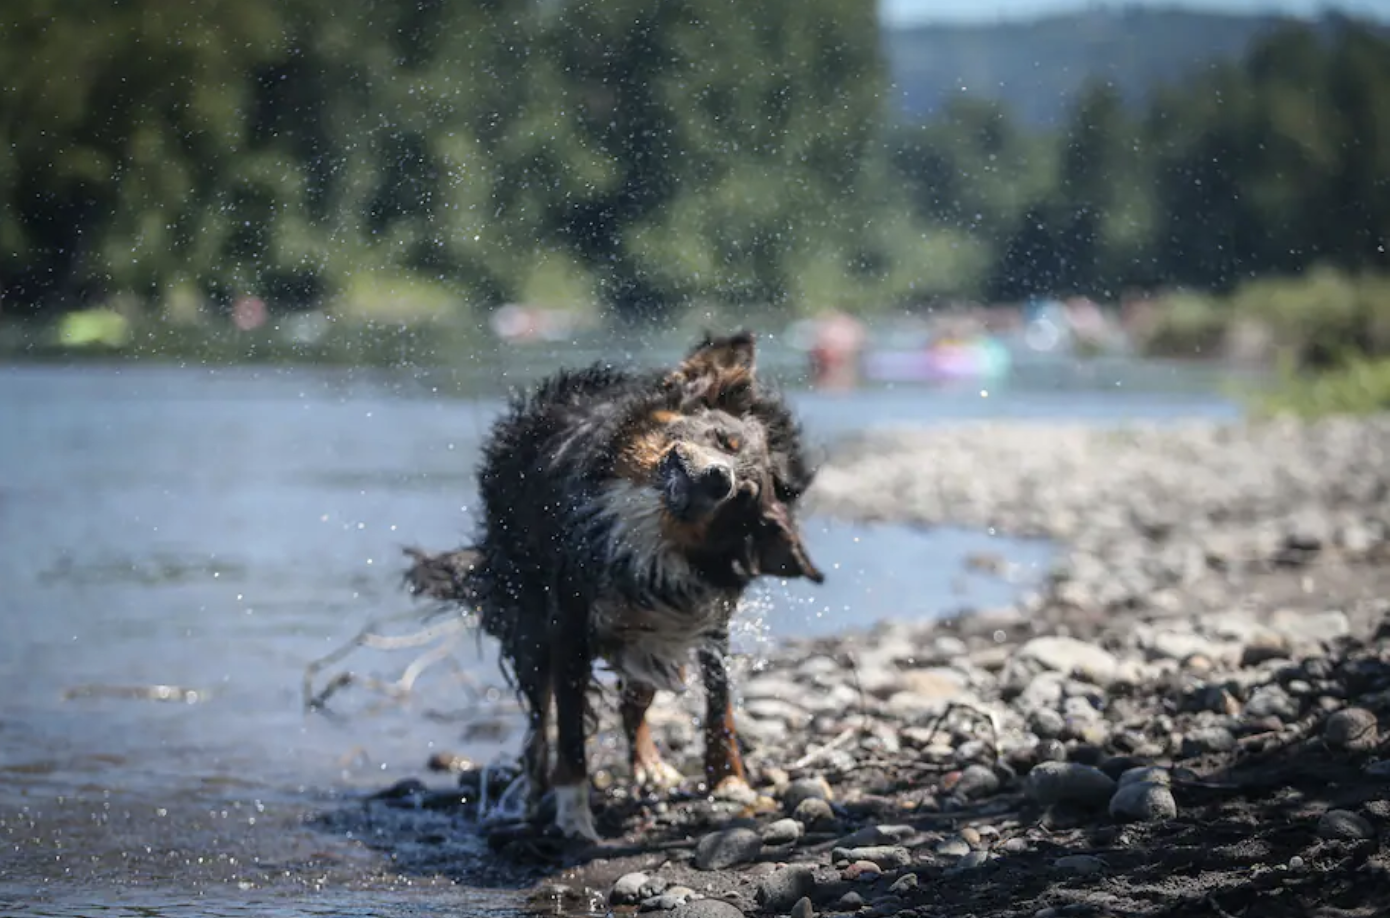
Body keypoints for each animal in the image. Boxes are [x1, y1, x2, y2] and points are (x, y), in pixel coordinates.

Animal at [405, 333, 817, 840]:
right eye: (723, 439)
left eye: (744, 496)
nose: (721, 478)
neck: (648, 526)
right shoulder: (568, 628)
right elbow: (570, 736)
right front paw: (574, 814)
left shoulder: (703, 618)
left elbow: (720, 704)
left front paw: (729, 780)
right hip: (533, 626)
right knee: (540, 720)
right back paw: (534, 786)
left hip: (654, 634)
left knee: (632, 701)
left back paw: (650, 765)